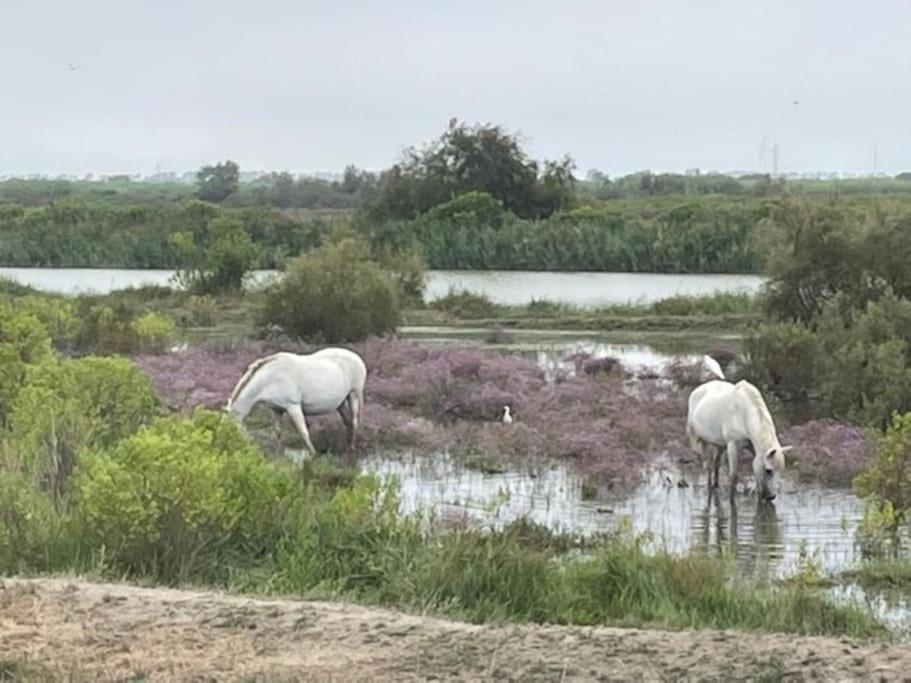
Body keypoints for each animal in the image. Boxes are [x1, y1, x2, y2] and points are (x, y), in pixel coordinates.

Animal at [225, 348, 366, 454]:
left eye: (232, 429)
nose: (231, 446)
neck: (272, 378)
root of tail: (357, 358)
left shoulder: (293, 407)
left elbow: (303, 432)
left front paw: (313, 453)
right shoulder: (276, 410)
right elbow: (278, 432)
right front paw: (279, 452)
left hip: (354, 394)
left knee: (354, 421)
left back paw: (352, 447)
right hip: (340, 403)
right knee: (348, 422)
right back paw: (347, 445)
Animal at [684, 358, 792, 502]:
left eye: (781, 470)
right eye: (769, 470)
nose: (771, 496)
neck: (744, 414)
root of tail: (699, 389)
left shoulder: (753, 448)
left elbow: (756, 475)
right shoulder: (733, 445)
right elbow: (733, 475)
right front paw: (732, 500)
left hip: (719, 444)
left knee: (716, 463)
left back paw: (716, 485)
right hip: (702, 441)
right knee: (708, 465)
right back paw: (709, 488)